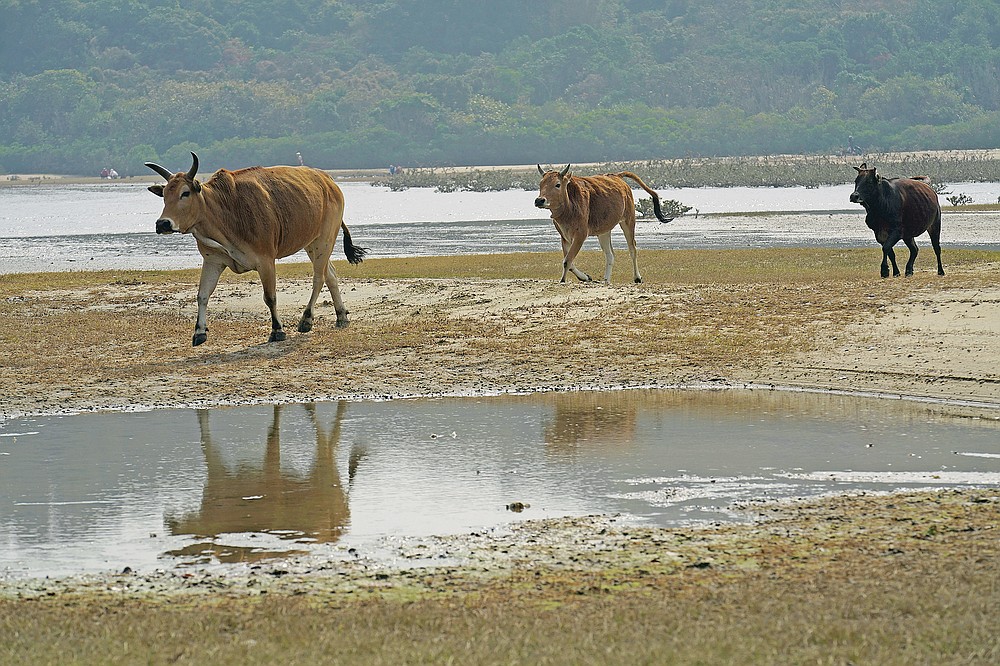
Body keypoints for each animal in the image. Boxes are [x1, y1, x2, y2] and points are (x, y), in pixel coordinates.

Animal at [145, 153, 368, 344]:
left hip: (324, 239)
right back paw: (341, 316)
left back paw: (306, 320)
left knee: (319, 278)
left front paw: (277, 330)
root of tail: (328, 181)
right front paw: (199, 332)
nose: (162, 224)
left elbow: (270, 297)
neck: (225, 210)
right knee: (330, 275)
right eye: (164, 195)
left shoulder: (265, 260)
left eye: (185, 193)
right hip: (312, 244)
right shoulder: (213, 261)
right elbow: (202, 295)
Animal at [532, 165, 672, 284]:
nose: (539, 200)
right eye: (541, 184)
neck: (569, 205)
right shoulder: (565, 237)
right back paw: (606, 280)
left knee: (633, 248)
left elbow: (567, 260)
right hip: (604, 231)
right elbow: (570, 262)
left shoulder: (580, 235)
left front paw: (563, 280)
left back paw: (637, 278)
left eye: (557, 184)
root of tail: (617, 176)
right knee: (610, 255)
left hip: (628, 221)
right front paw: (586, 277)